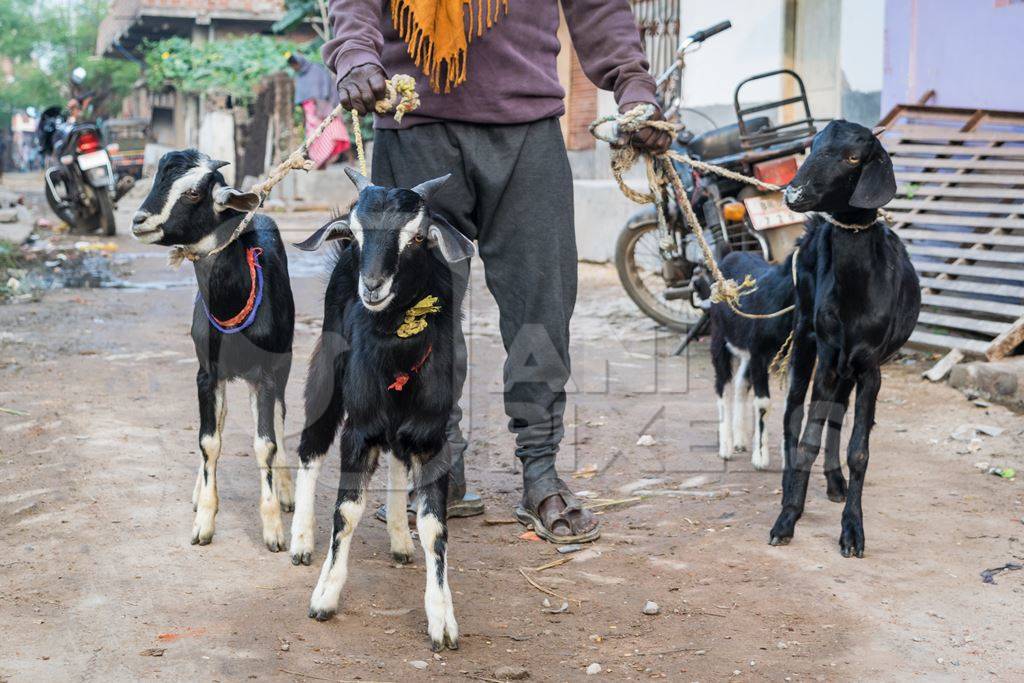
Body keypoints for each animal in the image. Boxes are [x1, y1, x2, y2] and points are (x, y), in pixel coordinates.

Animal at [130, 149, 294, 548]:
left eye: (193, 193)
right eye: (155, 178)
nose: (139, 221)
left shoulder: (266, 375)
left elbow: (266, 442)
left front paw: (273, 530)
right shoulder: (206, 373)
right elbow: (208, 440)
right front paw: (204, 520)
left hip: (283, 363)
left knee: (280, 419)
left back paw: (286, 491)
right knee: (219, 423)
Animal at [770, 121, 921, 557]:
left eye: (854, 157)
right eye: (813, 145)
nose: (793, 194)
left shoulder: (870, 367)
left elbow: (859, 449)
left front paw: (853, 529)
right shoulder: (826, 353)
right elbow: (808, 437)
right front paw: (788, 517)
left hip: (848, 368)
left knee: (836, 414)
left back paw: (835, 481)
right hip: (806, 336)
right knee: (793, 412)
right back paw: (790, 481)